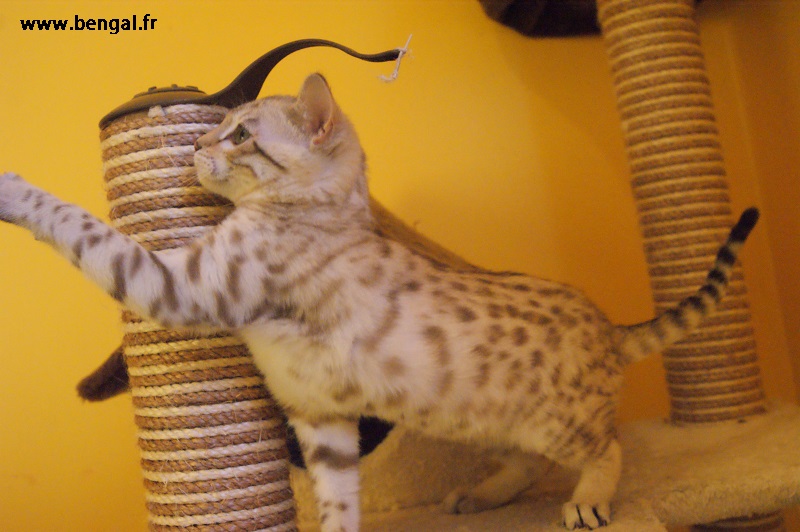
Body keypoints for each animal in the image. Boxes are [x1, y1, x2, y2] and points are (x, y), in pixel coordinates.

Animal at [0, 73, 759, 530]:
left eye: (240, 134)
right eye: (221, 127)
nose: (192, 147)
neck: (315, 208)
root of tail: (607, 324)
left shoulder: (181, 286)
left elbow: (83, 230)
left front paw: (14, 191)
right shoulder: (323, 420)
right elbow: (339, 503)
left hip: (556, 422)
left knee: (607, 446)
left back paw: (589, 502)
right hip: (485, 421)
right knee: (527, 462)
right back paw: (480, 496)